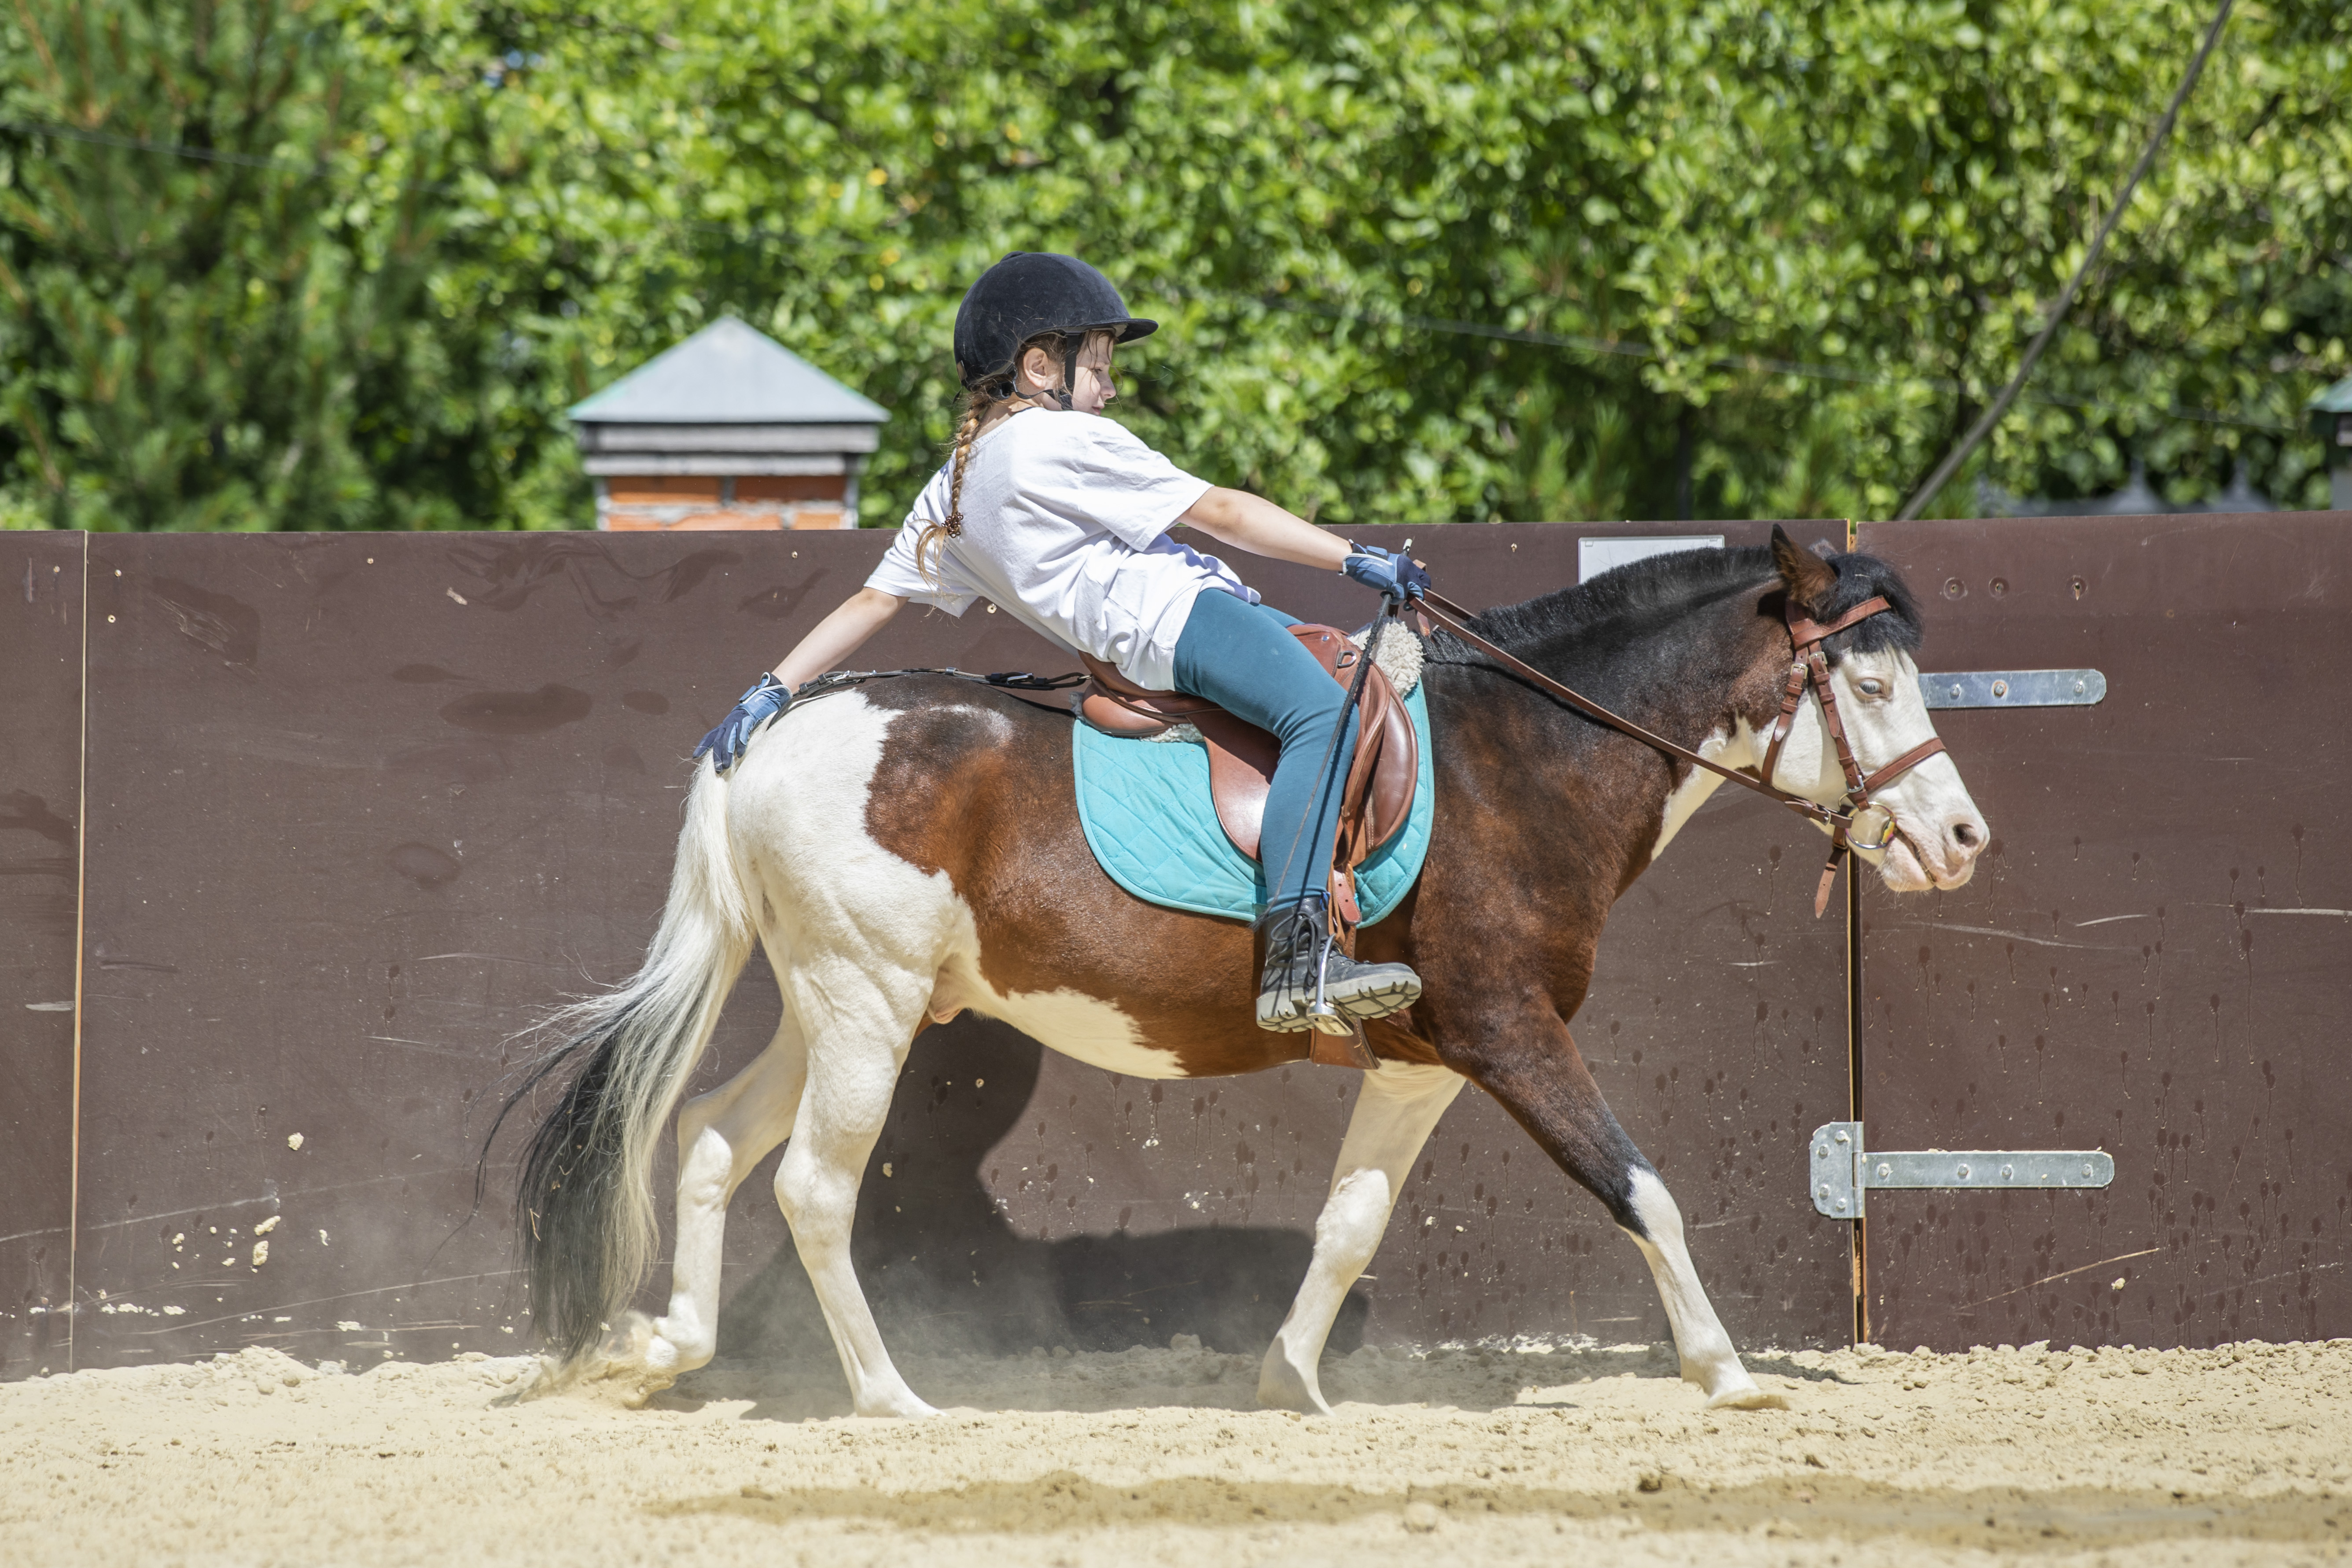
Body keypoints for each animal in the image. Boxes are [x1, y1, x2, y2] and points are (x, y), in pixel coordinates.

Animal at [496, 534, 1985, 1420]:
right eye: (1866, 683)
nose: (1962, 838)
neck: (1518, 763)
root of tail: (779, 727)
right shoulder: (1511, 1033)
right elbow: (1639, 1188)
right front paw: (1724, 1374)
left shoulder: (1423, 1061)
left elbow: (1350, 1223)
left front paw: (1284, 1380)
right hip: (863, 1005)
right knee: (810, 1183)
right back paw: (888, 1395)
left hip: (835, 1004)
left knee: (708, 1135)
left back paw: (671, 1345)